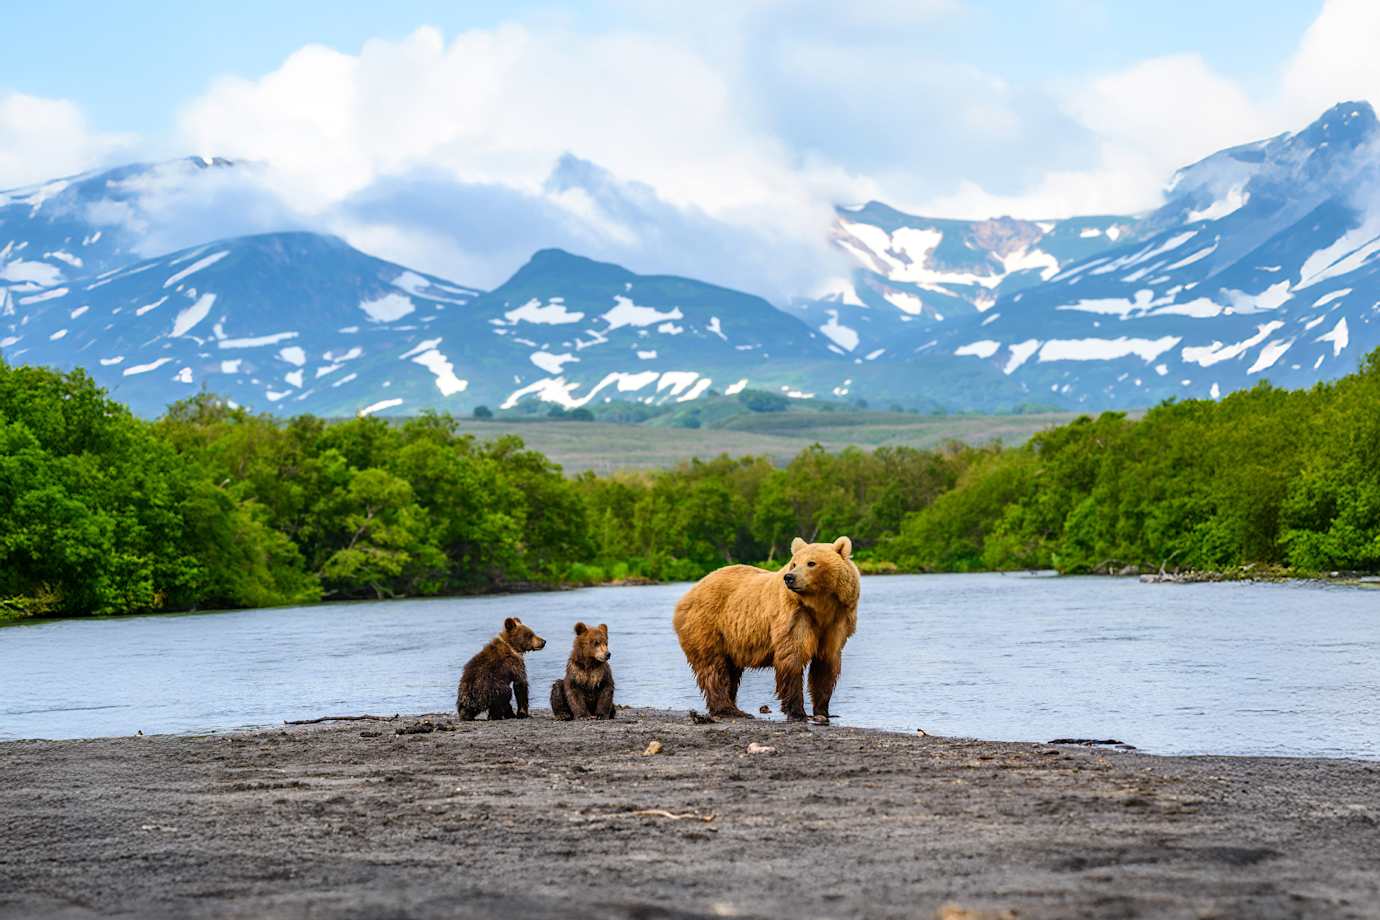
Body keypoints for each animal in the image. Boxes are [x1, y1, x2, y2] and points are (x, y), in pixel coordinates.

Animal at [672, 536, 859, 722]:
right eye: (794, 563)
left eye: (811, 563)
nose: (790, 577)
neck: (820, 606)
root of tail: (690, 592)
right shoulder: (794, 616)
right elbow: (792, 658)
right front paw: (797, 712)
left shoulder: (836, 621)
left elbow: (825, 664)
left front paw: (823, 711)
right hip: (707, 625)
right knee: (713, 667)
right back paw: (729, 709)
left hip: (729, 640)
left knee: (731, 670)